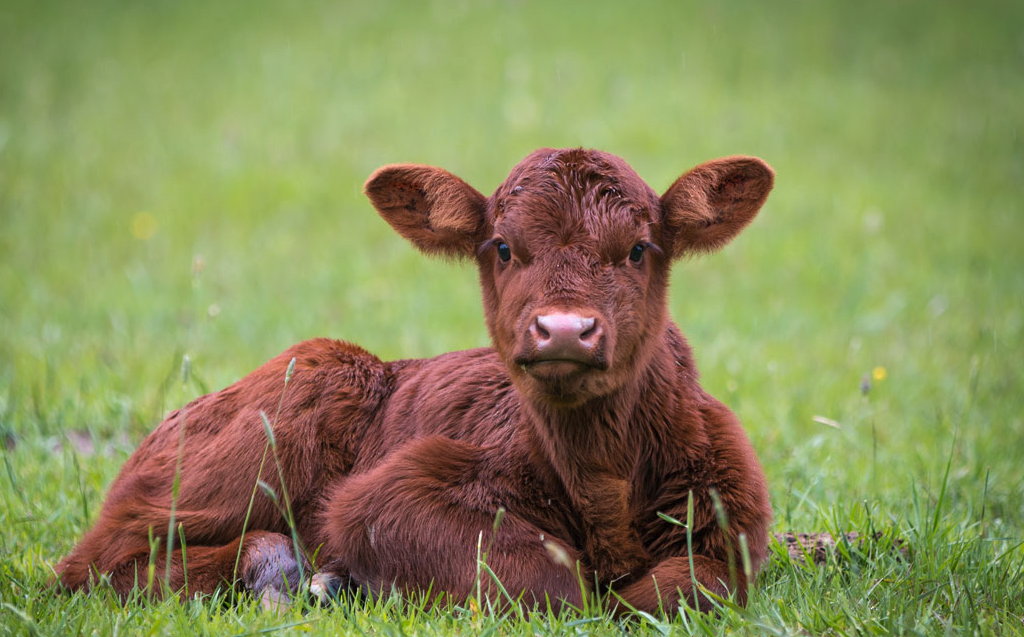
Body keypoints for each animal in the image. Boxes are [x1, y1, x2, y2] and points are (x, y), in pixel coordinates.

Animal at [54, 147, 774, 618]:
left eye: (638, 250)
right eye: (502, 248)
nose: (565, 329)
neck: (602, 485)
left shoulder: (734, 522)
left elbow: (690, 585)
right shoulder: (387, 496)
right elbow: (553, 585)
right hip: (287, 407)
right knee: (92, 562)